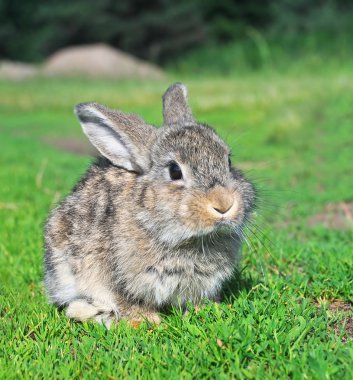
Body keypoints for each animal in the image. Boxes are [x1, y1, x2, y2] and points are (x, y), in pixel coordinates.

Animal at [44, 82, 254, 326]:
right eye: (174, 171)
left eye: (228, 161)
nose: (224, 204)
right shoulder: (111, 273)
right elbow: (124, 299)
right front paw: (146, 321)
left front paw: (205, 311)